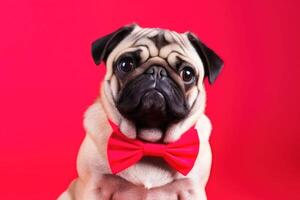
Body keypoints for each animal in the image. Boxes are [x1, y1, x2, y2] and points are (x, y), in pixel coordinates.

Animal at [58, 23, 223, 200]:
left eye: (187, 74)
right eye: (125, 64)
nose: (157, 71)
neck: (149, 142)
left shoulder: (192, 190)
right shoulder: (96, 187)